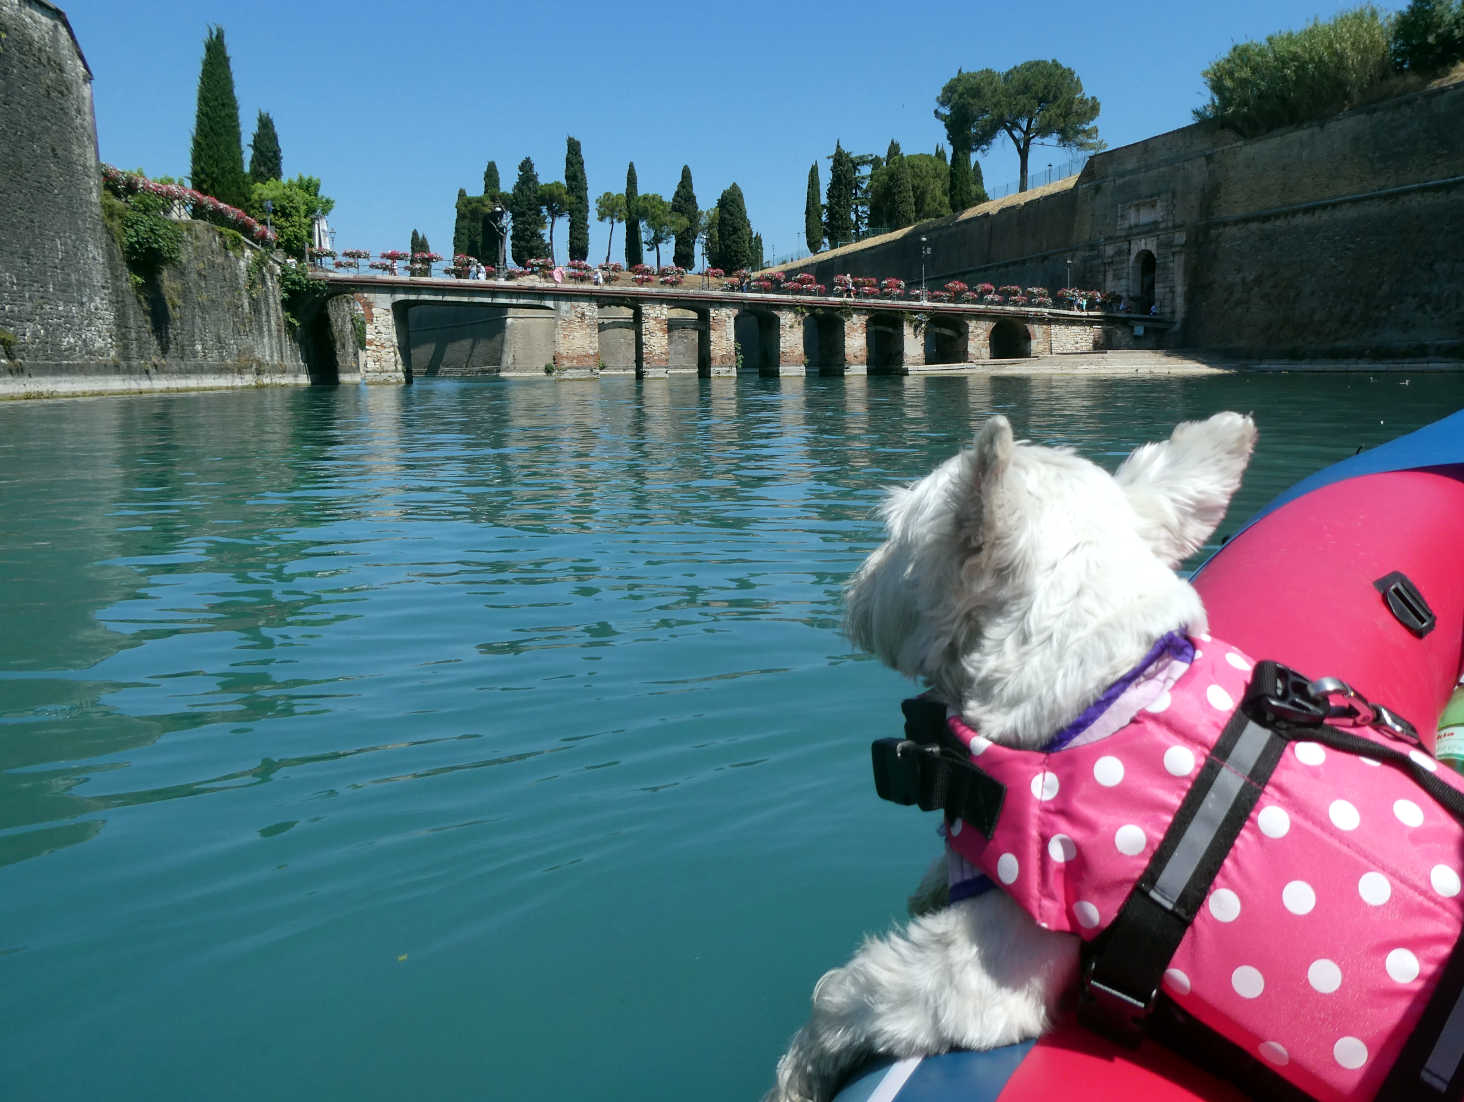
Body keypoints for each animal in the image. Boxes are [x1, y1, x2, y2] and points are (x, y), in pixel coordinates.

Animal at [767, 409, 1259, 1100]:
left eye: (894, 533)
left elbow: (846, 997)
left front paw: (797, 1074)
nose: (859, 578)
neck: (1106, 692)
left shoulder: (990, 973)